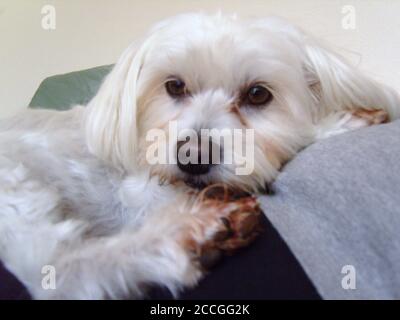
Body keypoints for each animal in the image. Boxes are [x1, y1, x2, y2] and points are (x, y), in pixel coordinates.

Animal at [0, 11, 400, 298]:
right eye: (174, 86)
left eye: (258, 94)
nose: (193, 158)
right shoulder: (144, 192)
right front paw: (336, 124)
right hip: (14, 187)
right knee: (56, 269)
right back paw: (188, 233)